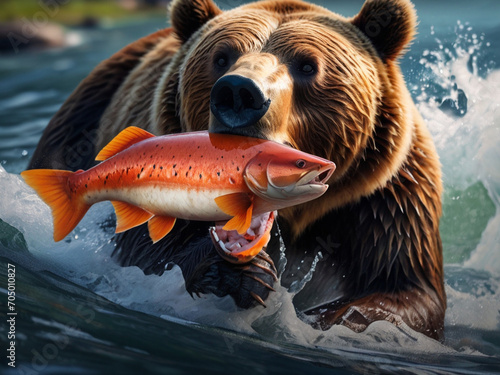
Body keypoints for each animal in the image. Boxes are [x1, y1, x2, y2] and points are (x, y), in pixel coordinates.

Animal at [28, 0, 446, 340]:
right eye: (221, 57)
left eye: (308, 65)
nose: (239, 93)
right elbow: (139, 249)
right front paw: (242, 273)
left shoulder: (384, 198)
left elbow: (407, 290)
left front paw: (317, 318)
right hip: (82, 120)